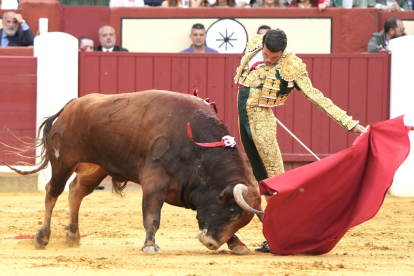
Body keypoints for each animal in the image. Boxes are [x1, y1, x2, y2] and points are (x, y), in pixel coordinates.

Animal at [4, 90, 264, 254]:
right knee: (52, 193)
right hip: (63, 162)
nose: (210, 243)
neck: (195, 144)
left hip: (95, 167)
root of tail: (71, 106)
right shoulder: (153, 182)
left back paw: (73, 235)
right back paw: (42, 237)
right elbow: (152, 216)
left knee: (76, 191)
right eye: (231, 212)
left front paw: (237, 243)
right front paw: (150, 245)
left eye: (241, 219)